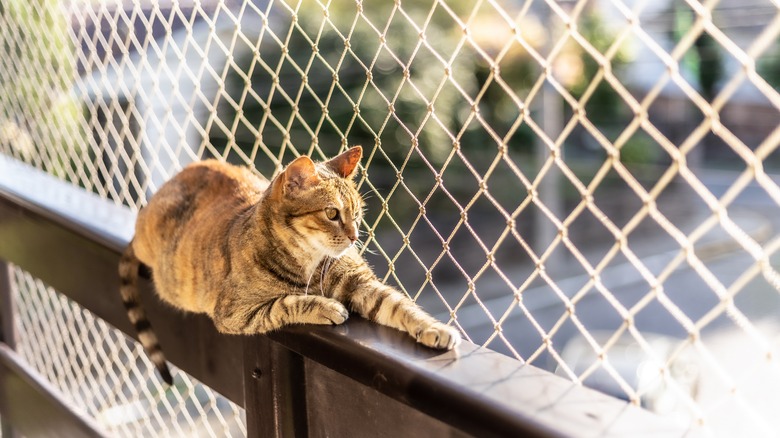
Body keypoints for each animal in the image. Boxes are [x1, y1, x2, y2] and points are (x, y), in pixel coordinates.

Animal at [119, 145, 460, 382]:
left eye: (358, 213)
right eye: (332, 213)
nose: (354, 237)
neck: (310, 260)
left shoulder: (361, 282)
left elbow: (399, 305)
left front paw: (434, 328)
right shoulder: (234, 312)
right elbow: (285, 303)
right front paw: (325, 307)